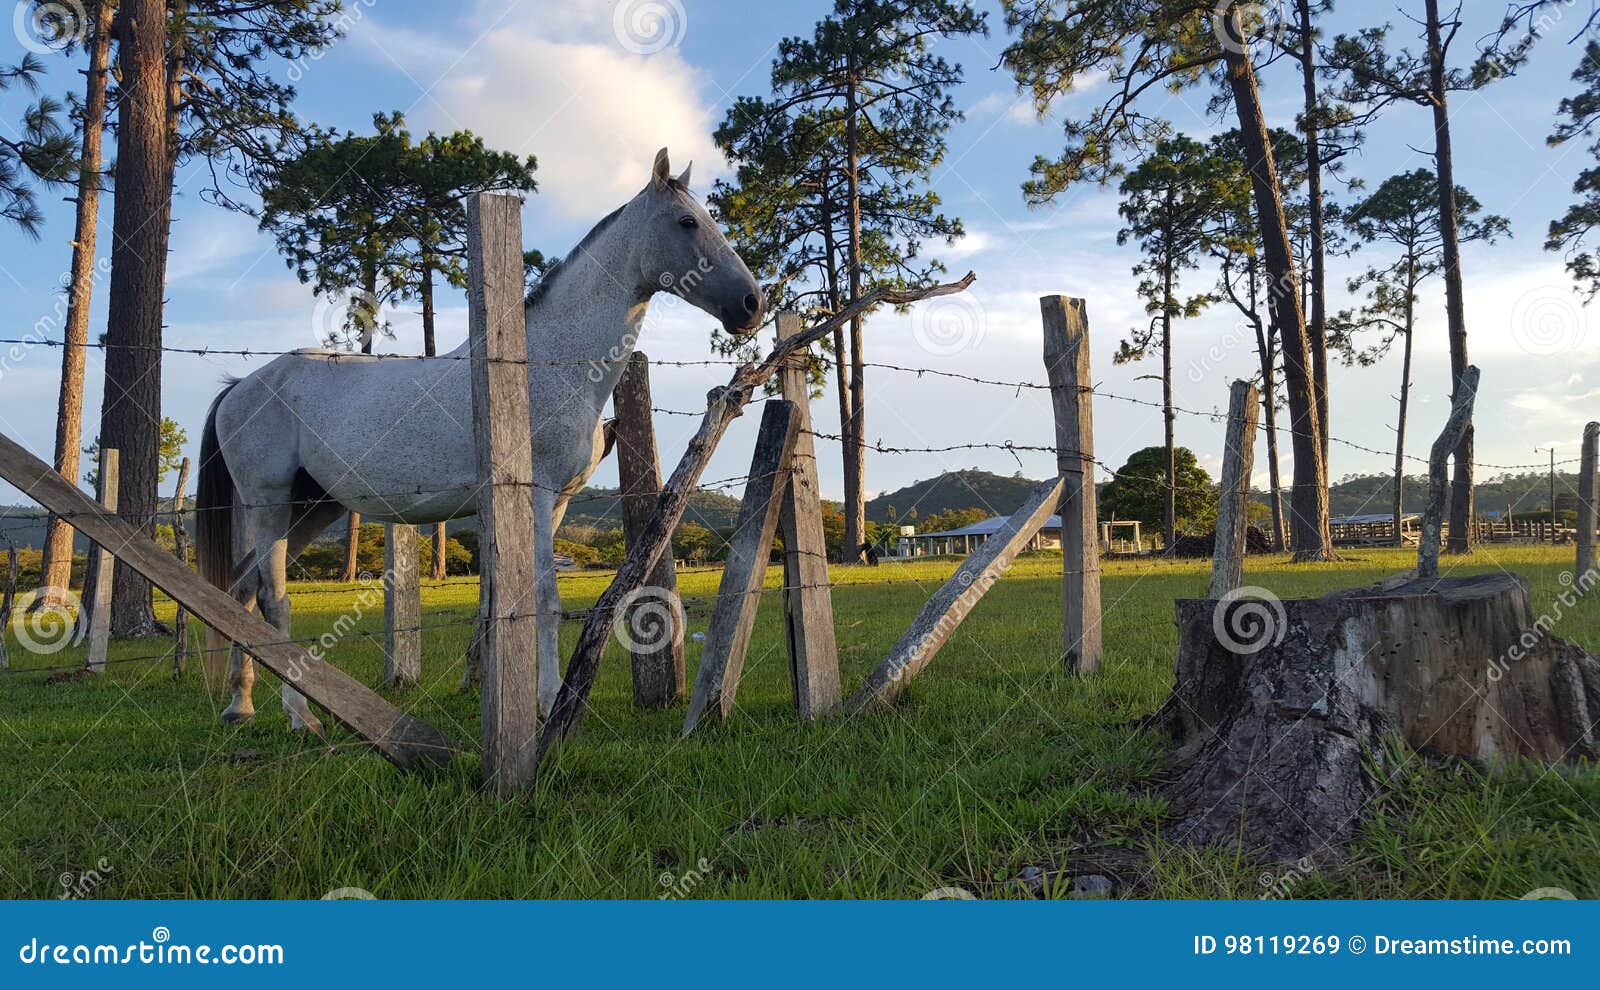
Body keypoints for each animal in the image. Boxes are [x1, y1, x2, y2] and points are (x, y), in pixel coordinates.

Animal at [196, 151, 764, 732]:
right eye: (687, 222)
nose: (752, 303)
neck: (544, 362)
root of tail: (242, 386)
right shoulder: (536, 494)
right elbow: (544, 599)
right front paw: (548, 703)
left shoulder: (556, 503)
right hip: (269, 503)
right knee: (273, 598)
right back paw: (300, 715)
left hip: (313, 508)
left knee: (242, 591)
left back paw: (240, 705)